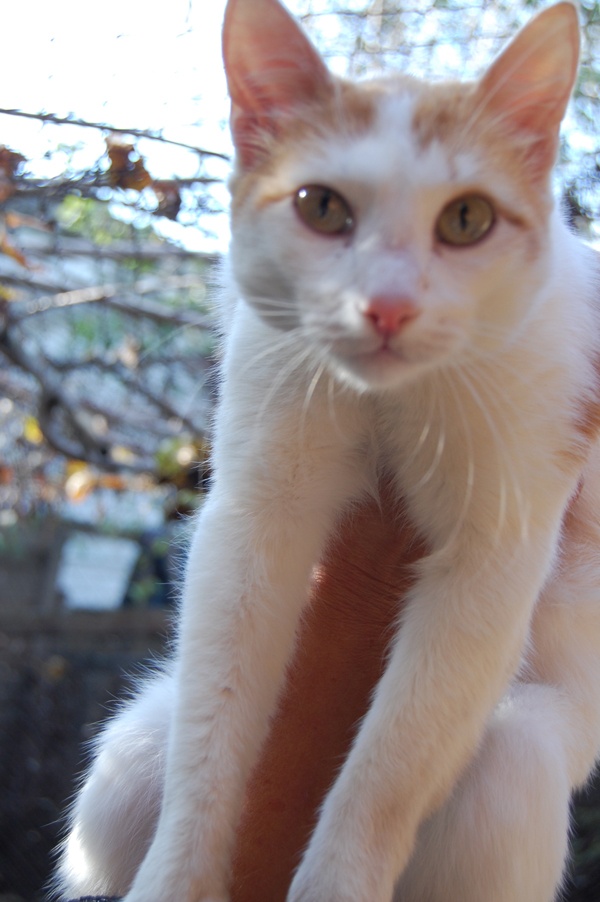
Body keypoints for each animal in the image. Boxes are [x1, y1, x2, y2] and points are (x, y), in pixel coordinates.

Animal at [55, 0, 600, 900]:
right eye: (321, 208)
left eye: (468, 220)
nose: (386, 307)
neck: (391, 400)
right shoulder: (255, 509)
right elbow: (213, 735)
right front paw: (176, 878)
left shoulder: (495, 552)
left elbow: (389, 768)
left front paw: (336, 880)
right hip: (132, 753)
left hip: (513, 766)